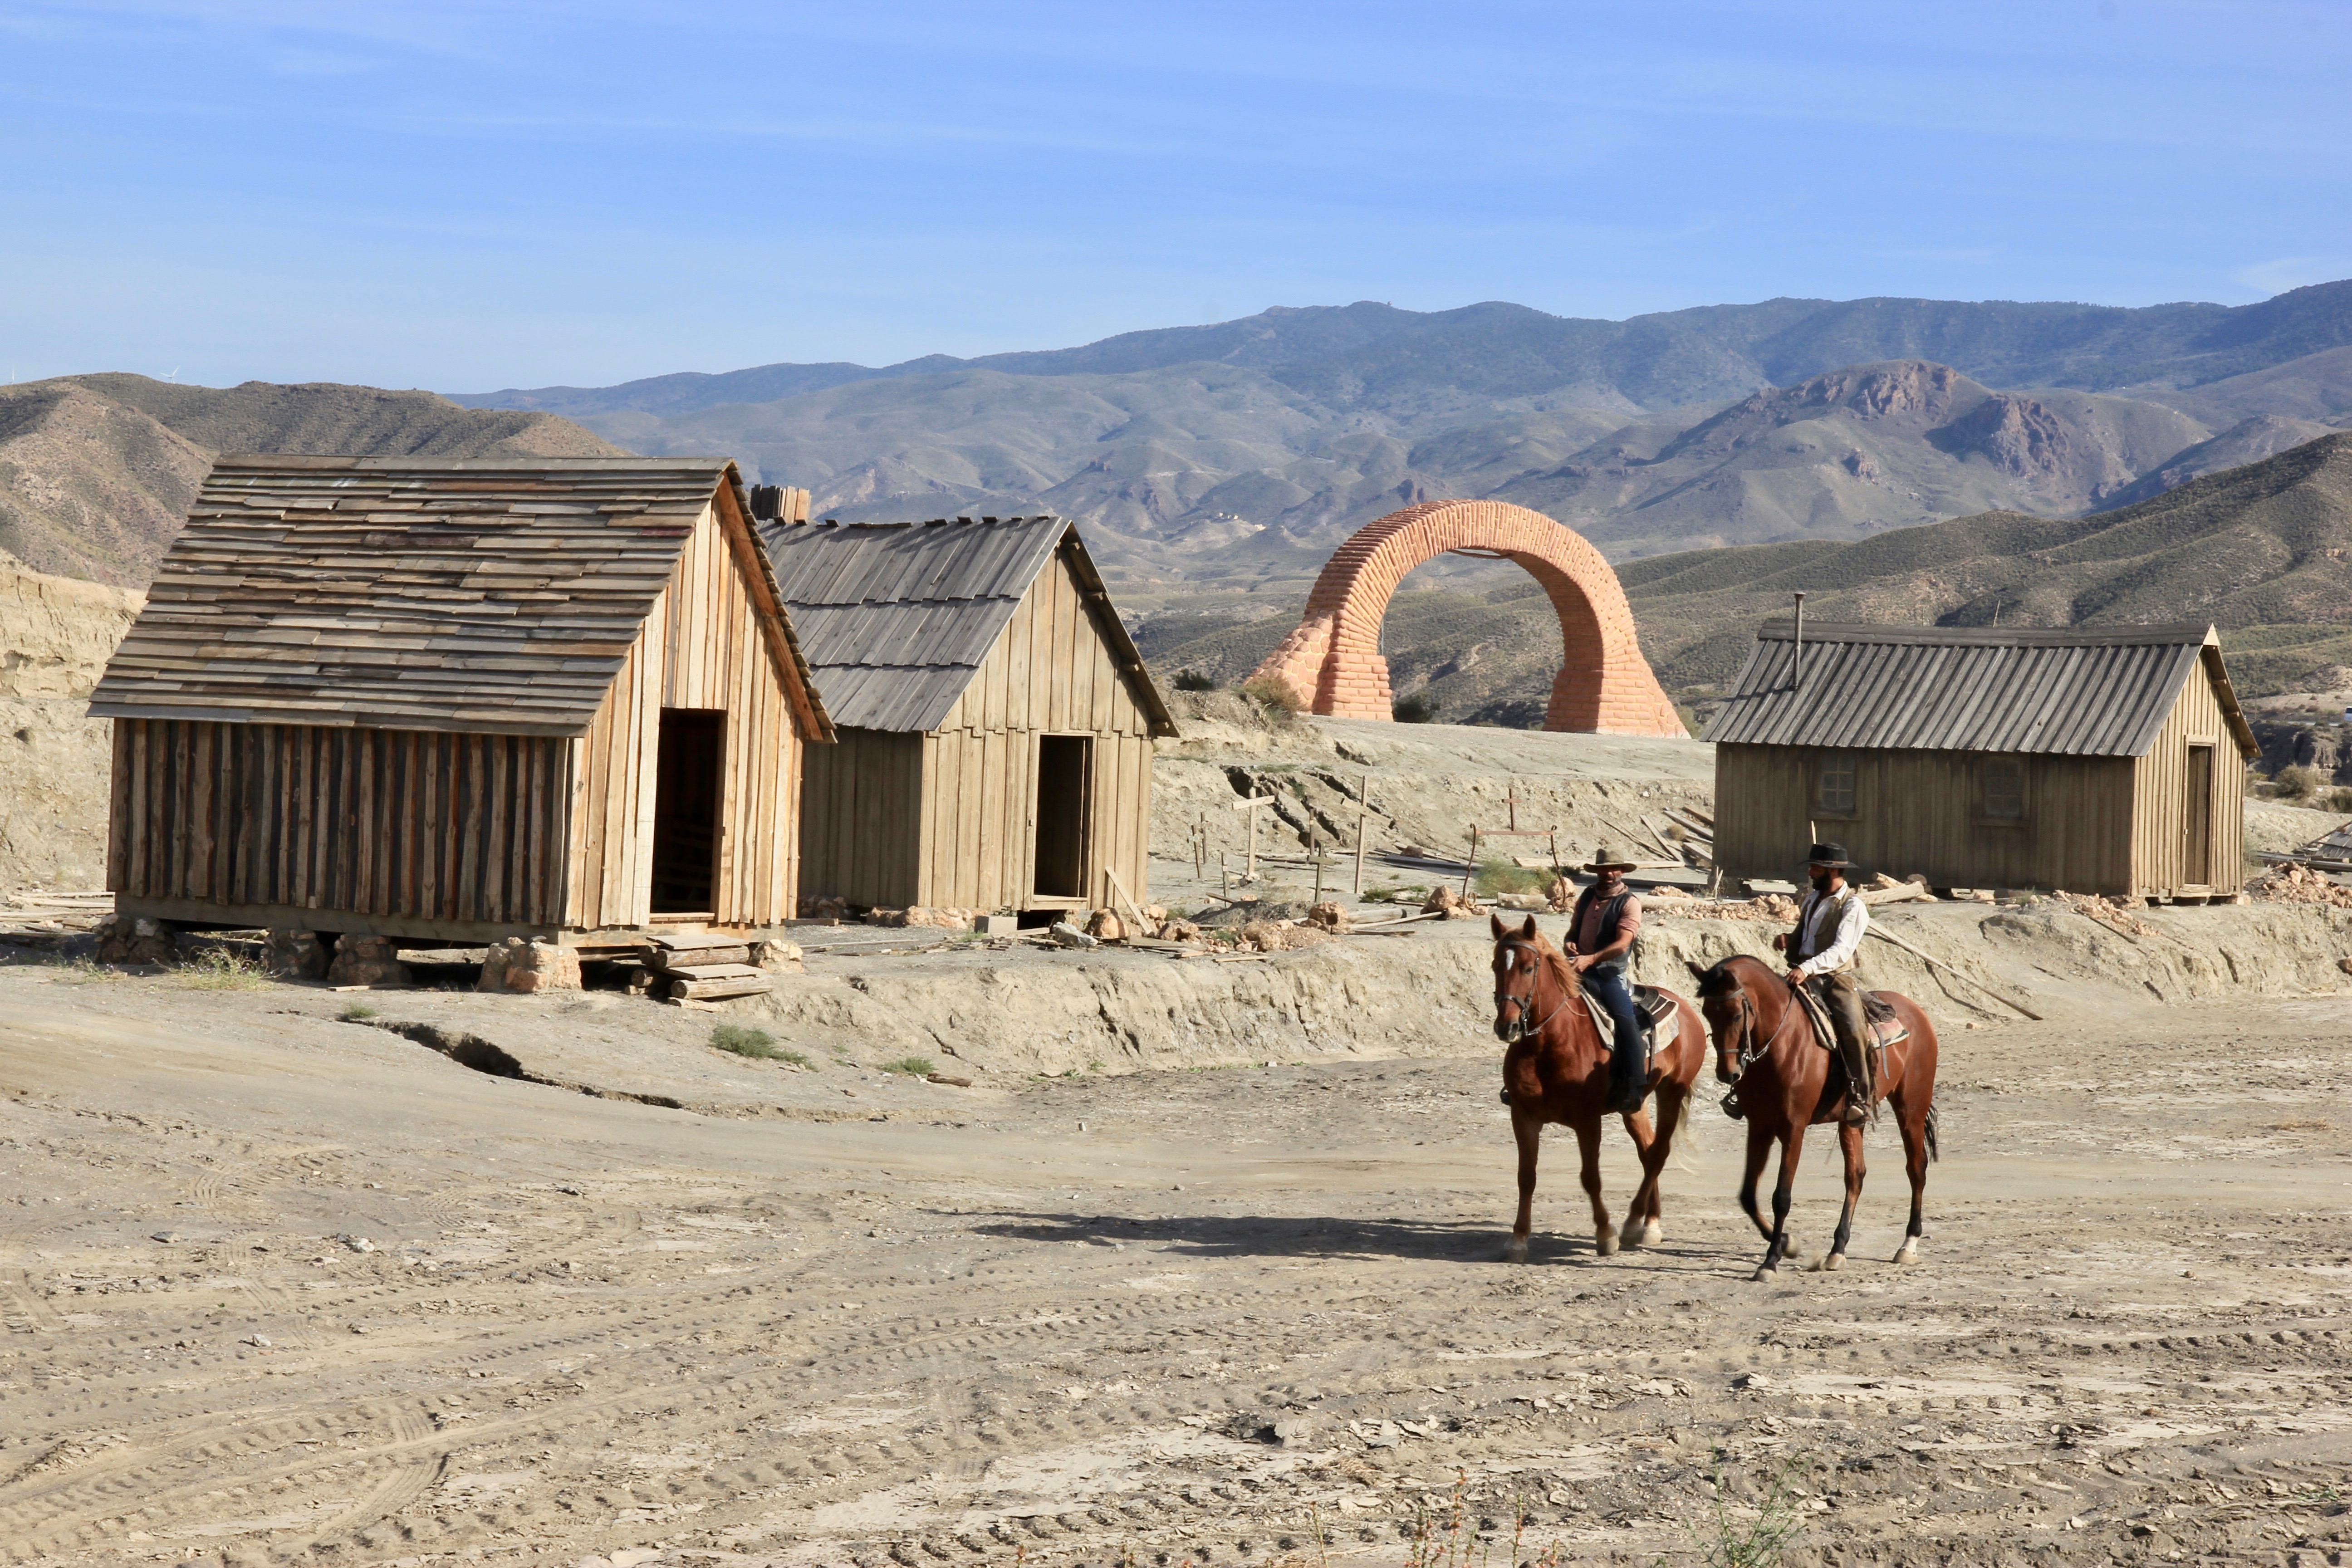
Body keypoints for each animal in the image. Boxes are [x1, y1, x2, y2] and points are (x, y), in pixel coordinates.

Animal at [1496, 921, 1703, 1260]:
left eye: (1527, 968)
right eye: (1496, 965)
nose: (1507, 1027)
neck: (1549, 1043)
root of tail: (1686, 1009)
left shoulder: (1588, 1120)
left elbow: (1591, 1178)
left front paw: (1606, 1234)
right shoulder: (1523, 1116)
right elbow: (1526, 1177)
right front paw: (1518, 1240)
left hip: (1671, 1093)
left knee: (1658, 1153)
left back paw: (1635, 1224)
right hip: (1635, 1105)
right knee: (1648, 1152)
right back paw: (1651, 1223)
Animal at [1693, 950, 1947, 1279]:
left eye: (1737, 1014)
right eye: (1707, 1012)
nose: (1728, 1074)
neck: (1783, 1042)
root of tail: (1917, 1013)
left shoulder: (1794, 1128)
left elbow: (1782, 1197)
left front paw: (1771, 1261)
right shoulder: (1760, 1125)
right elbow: (1748, 1195)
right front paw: (1787, 1244)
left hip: (1911, 1109)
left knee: (1916, 1168)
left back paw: (1908, 1245)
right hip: (1852, 1121)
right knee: (1856, 1176)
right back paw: (1837, 1250)